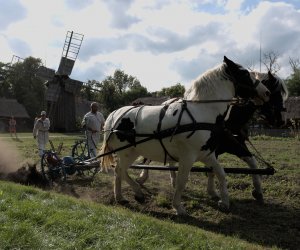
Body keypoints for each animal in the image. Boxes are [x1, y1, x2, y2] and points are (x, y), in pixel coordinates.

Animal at [99, 56, 270, 215]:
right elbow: (182, 181)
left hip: (132, 153)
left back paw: (121, 197)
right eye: (244, 73)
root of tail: (114, 115)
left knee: (119, 172)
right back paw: (136, 192)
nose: (267, 92)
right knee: (120, 171)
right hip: (127, 153)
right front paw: (179, 208)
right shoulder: (188, 156)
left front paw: (224, 202)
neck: (202, 113)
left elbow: (221, 174)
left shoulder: (207, 154)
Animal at [137, 70, 288, 203]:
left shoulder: (235, 145)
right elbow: (211, 170)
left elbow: (252, 163)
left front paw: (257, 191)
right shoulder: (213, 149)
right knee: (148, 158)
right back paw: (143, 177)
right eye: (274, 92)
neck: (228, 120)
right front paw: (213, 192)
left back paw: (173, 181)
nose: (281, 120)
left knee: (171, 161)